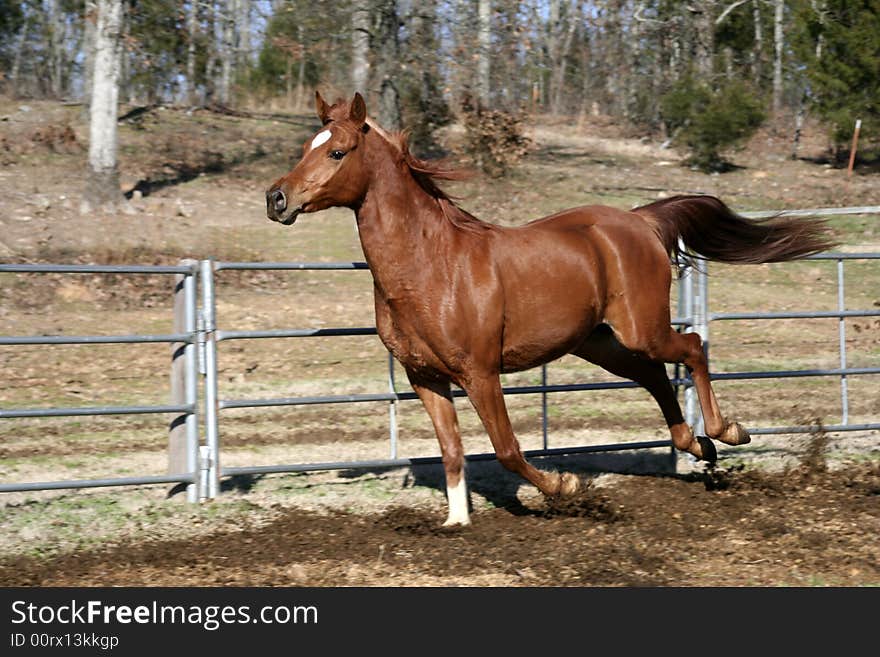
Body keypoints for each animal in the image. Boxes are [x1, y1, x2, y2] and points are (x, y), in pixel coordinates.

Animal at [264, 92, 836, 524]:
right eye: (306, 146)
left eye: (337, 152)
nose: (277, 199)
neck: (430, 264)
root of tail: (640, 220)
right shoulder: (425, 378)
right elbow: (452, 450)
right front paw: (455, 522)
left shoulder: (479, 373)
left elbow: (507, 449)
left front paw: (565, 486)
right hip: (598, 341)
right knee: (653, 375)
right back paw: (698, 447)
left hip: (641, 328)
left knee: (692, 347)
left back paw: (726, 433)